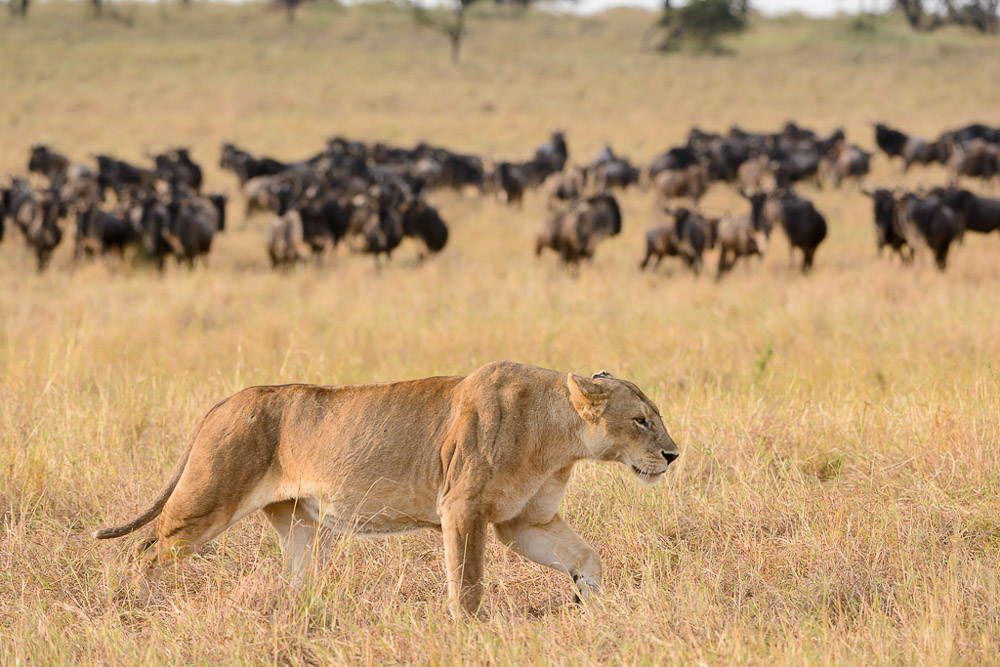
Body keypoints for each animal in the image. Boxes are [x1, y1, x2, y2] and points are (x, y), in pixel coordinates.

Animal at [94, 361, 680, 616]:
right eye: (641, 421)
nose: (674, 455)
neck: (559, 436)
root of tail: (222, 403)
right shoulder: (462, 507)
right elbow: (467, 582)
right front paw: (469, 630)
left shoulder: (523, 522)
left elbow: (587, 556)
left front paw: (589, 601)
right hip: (206, 504)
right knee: (145, 551)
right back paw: (137, 604)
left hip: (298, 523)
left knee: (295, 577)